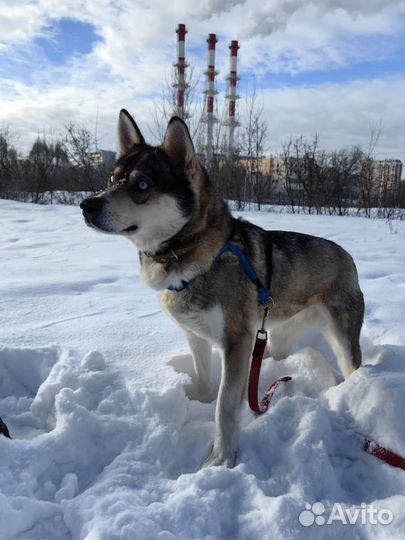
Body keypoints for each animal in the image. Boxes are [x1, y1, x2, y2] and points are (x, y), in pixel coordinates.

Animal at [80, 109, 364, 468]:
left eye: (142, 185)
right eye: (112, 179)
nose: (86, 205)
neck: (199, 259)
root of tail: (348, 255)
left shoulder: (236, 342)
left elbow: (224, 407)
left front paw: (221, 459)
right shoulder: (196, 335)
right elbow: (204, 378)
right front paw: (198, 399)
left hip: (342, 341)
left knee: (353, 367)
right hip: (278, 334)